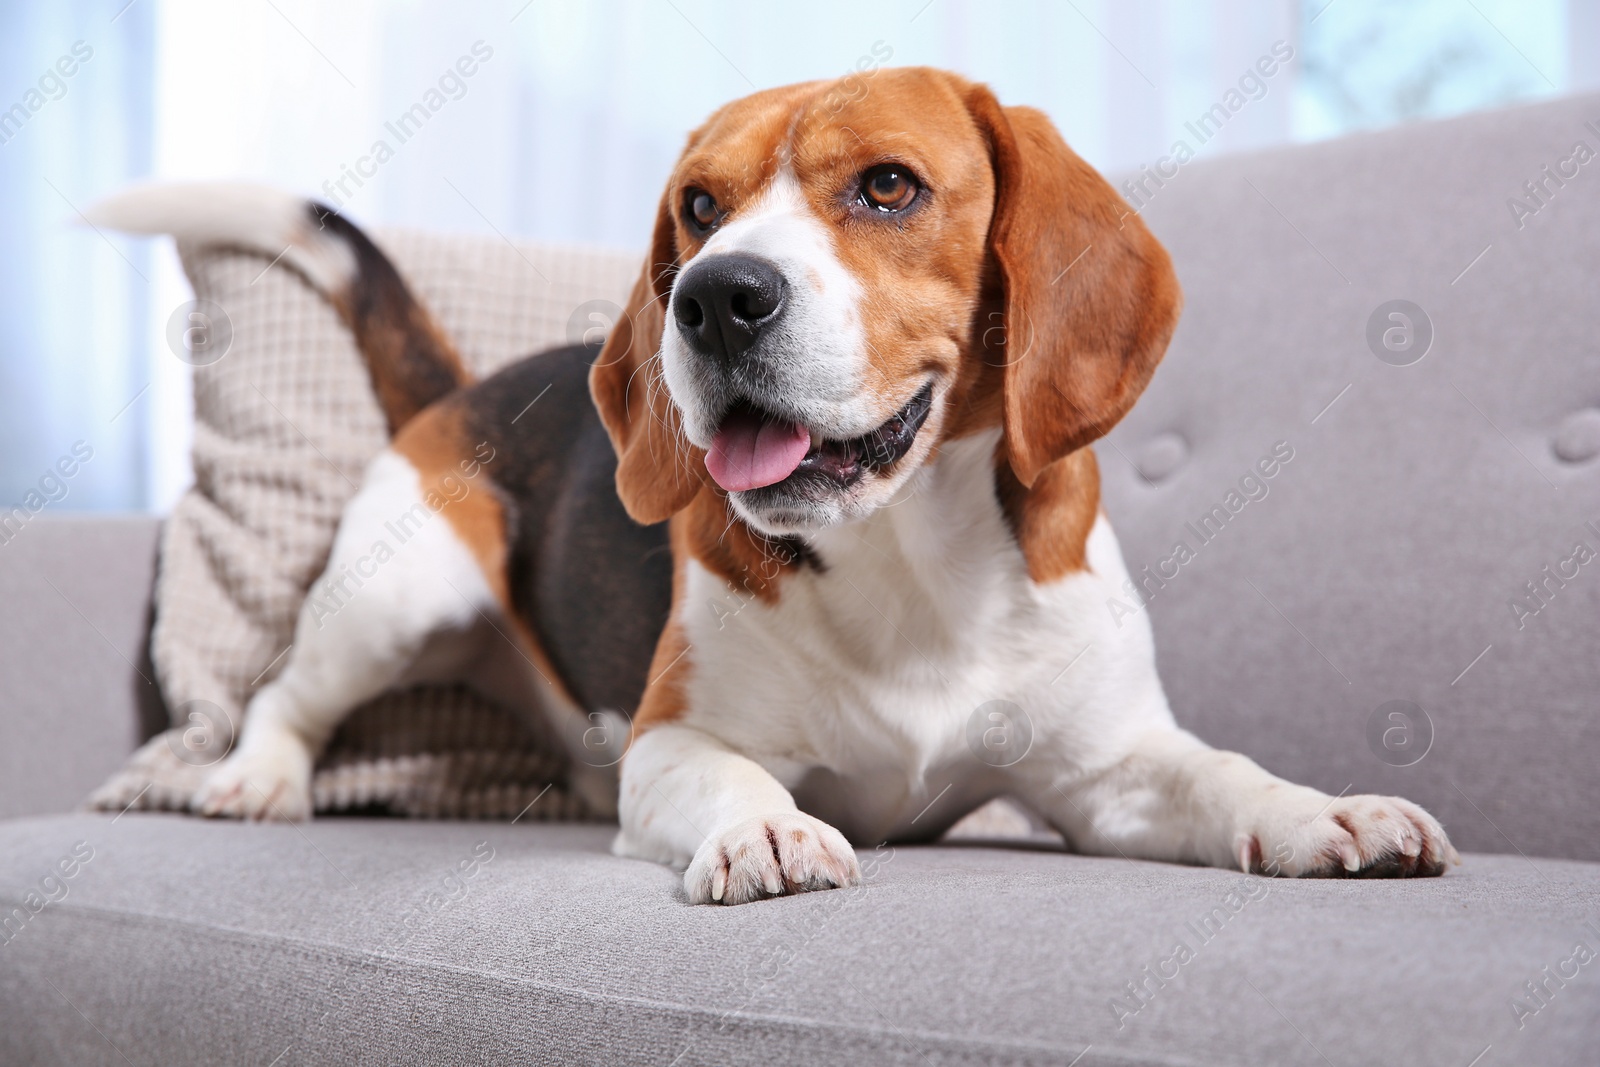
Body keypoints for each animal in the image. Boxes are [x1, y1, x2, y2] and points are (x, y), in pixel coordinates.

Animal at [93, 66, 1459, 902]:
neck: (909, 556)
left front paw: (1326, 813)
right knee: (285, 694)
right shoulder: (668, 746)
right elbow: (731, 774)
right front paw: (764, 828)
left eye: (889, 185)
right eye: (699, 207)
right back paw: (258, 778)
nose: (712, 297)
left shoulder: (1107, 772)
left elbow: (1222, 772)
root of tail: (466, 388)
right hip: (399, 596)